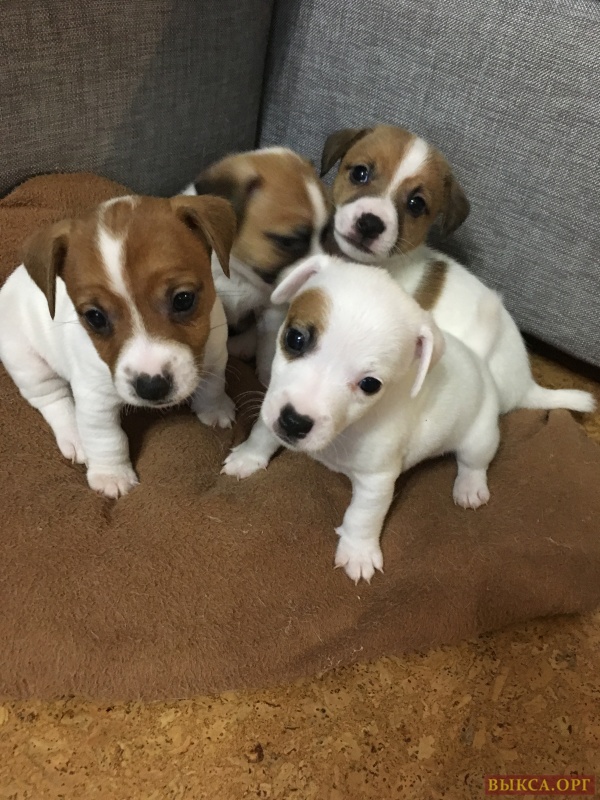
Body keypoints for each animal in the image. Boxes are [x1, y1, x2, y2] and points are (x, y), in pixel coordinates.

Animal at [0, 194, 237, 498]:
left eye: (183, 299)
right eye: (95, 317)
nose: (152, 387)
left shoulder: (216, 354)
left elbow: (213, 385)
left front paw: (214, 408)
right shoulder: (94, 397)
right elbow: (107, 438)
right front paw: (111, 475)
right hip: (27, 363)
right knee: (53, 399)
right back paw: (75, 437)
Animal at [222, 254, 501, 583]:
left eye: (370, 384)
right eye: (295, 338)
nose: (294, 422)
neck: (346, 430)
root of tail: (478, 358)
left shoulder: (376, 481)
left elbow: (362, 516)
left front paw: (358, 551)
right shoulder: (273, 406)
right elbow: (261, 434)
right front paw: (248, 458)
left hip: (480, 436)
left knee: (474, 462)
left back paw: (469, 487)